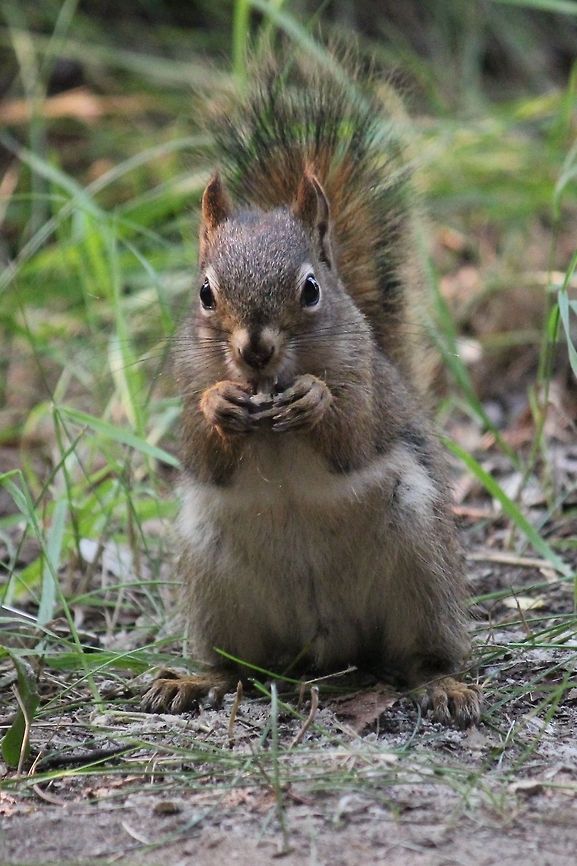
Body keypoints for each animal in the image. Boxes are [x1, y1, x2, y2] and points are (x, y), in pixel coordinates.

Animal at [143, 55, 481, 727]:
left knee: (419, 655)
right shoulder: (185, 383)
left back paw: (442, 686)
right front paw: (220, 404)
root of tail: (325, 642)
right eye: (204, 293)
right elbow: (202, 449)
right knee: (239, 666)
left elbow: (353, 435)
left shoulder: (367, 382)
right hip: (216, 587)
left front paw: (315, 400)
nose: (254, 351)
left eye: (310, 289)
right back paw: (196, 681)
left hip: (423, 571)